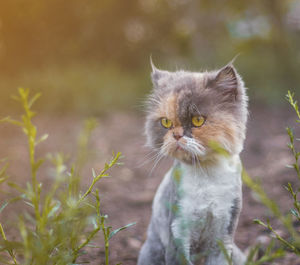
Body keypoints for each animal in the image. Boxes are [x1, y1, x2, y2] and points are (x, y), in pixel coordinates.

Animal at [137, 60, 247, 264]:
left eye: (197, 120)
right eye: (166, 122)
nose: (176, 135)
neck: (206, 174)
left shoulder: (223, 236)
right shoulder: (178, 231)